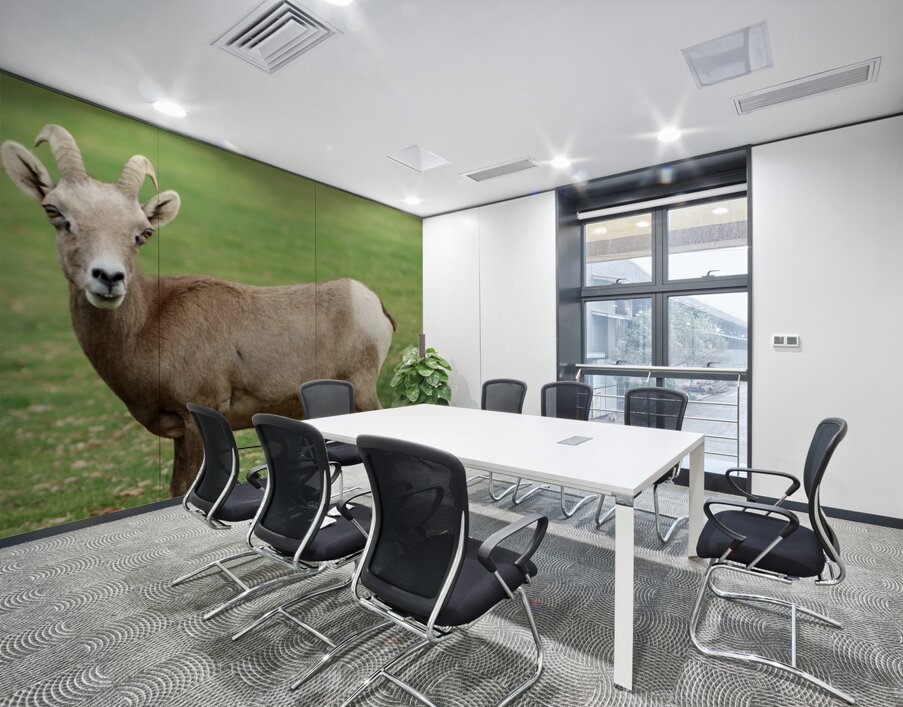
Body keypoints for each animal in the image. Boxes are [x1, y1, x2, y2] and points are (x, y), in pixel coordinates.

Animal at [1, 124, 396, 496]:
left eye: (142, 232)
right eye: (55, 211)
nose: (109, 278)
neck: (148, 324)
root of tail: (374, 305)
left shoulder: (196, 421)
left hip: (362, 393)